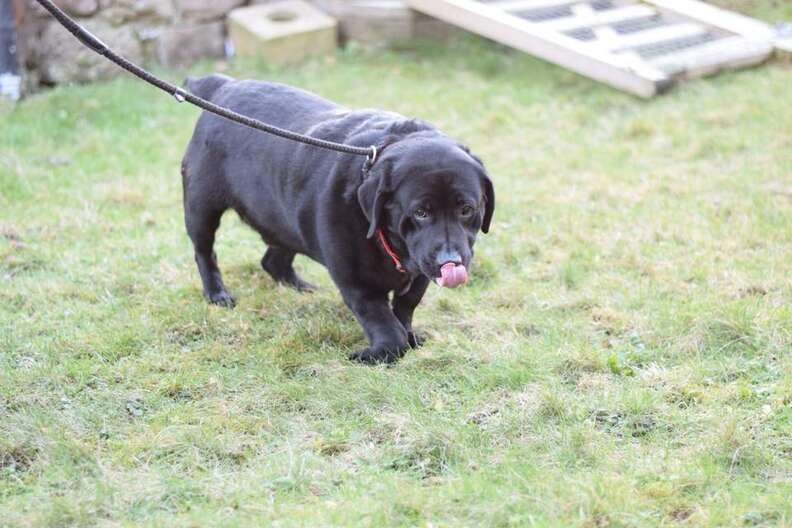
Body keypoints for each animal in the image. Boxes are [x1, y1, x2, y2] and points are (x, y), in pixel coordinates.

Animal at [182, 74, 492, 364]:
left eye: (466, 209)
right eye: (421, 213)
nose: (449, 261)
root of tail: (224, 85)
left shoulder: (419, 275)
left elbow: (405, 307)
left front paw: (409, 335)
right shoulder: (357, 281)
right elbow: (385, 324)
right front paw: (375, 353)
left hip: (285, 222)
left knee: (273, 260)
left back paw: (301, 288)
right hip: (201, 205)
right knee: (204, 251)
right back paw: (217, 293)